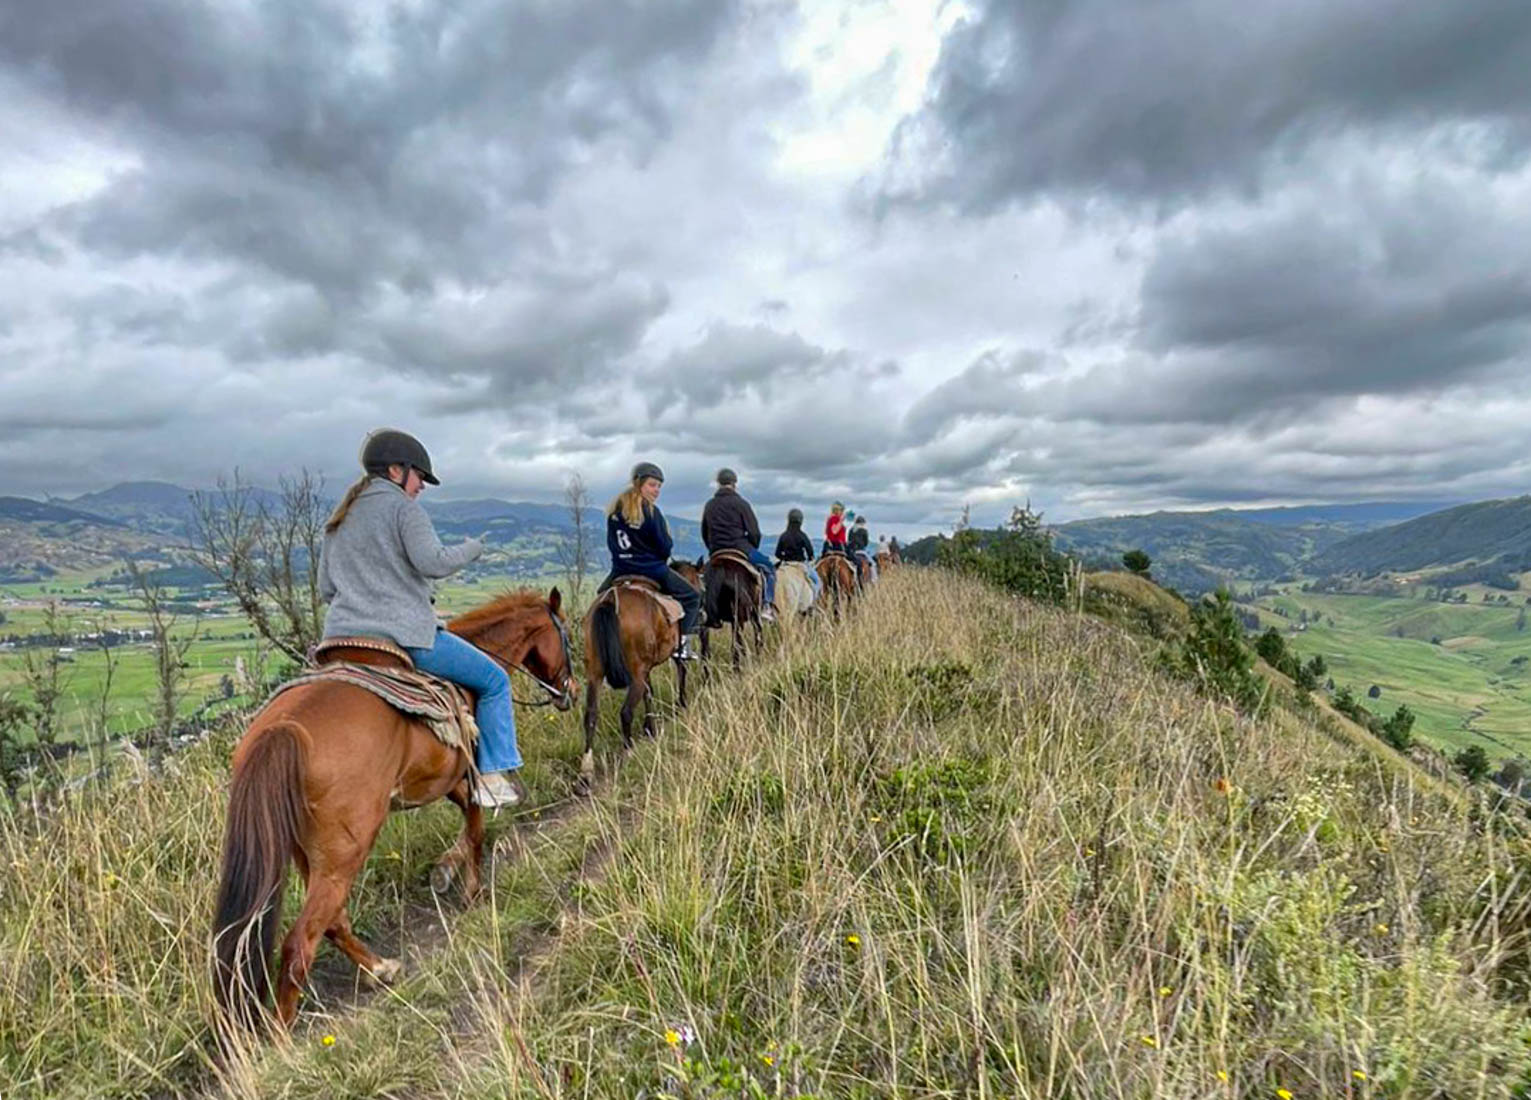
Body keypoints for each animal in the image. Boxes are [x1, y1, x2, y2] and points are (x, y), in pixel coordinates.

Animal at [211, 589, 576, 1033]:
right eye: (565, 635)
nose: (571, 691)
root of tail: (283, 728)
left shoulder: (444, 780)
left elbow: (466, 829)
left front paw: (445, 871)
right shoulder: (465, 775)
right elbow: (475, 830)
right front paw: (470, 889)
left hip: (308, 851)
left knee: (332, 922)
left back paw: (380, 968)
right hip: (346, 851)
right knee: (300, 943)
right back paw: (283, 1038)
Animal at [579, 565, 702, 792]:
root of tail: (611, 601)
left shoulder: (645, 669)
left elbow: (649, 693)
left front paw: (650, 729)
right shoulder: (661, 662)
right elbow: (680, 672)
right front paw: (681, 703)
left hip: (595, 672)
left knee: (590, 714)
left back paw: (585, 773)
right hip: (634, 673)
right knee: (626, 712)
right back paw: (628, 752)